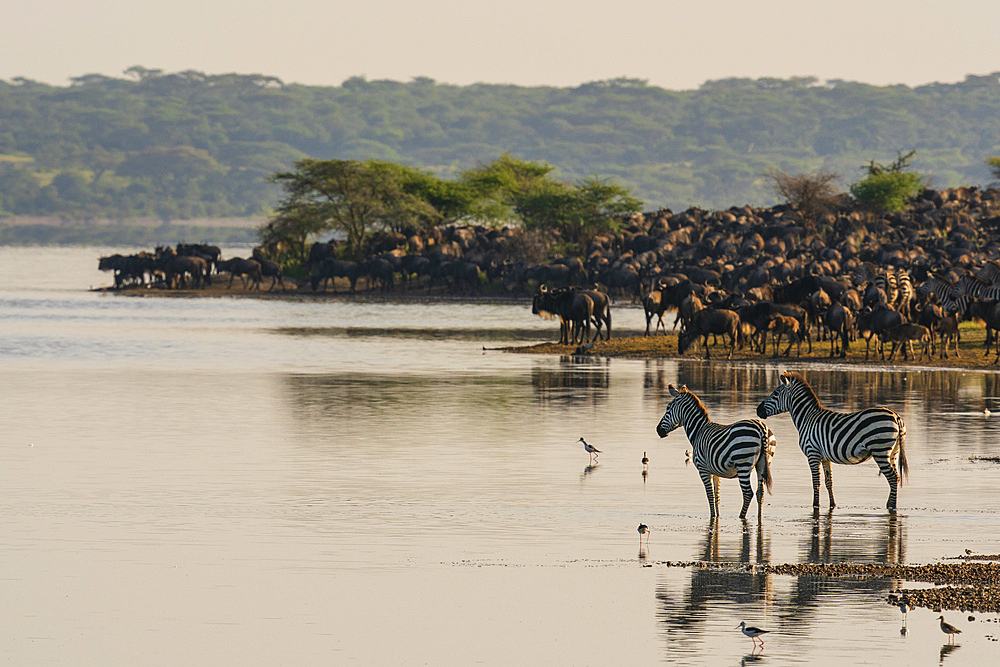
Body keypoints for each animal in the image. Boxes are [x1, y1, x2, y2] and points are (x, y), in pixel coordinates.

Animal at [652, 384, 776, 520]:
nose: (658, 430)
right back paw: (759, 517)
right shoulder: (716, 472)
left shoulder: (703, 470)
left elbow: (710, 495)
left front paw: (712, 516)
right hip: (763, 464)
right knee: (760, 493)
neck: (698, 431)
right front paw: (717, 516)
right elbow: (717, 496)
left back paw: (741, 516)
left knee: (748, 493)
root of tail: (761, 428)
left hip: (743, 463)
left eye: (668, 408)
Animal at [752, 374, 912, 516]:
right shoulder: (824, 457)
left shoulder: (812, 453)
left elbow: (815, 482)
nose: (758, 410)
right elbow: (829, 482)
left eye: (775, 393)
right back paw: (890, 505)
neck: (807, 418)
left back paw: (891, 506)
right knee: (897, 477)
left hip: (880, 450)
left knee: (892, 477)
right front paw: (832, 505)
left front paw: (815, 505)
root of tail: (896, 416)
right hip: (893, 453)